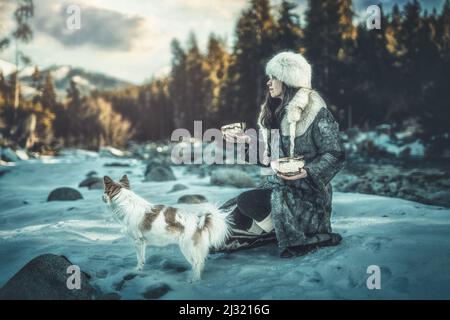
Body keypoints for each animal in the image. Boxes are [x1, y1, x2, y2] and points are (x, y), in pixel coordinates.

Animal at [102, 175, 232, 282]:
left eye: (104, 191)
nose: (101, 196)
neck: (126, 201)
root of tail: (199, 221)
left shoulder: (137, 241)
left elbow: (139, 258)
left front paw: (137, 269)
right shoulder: (142, 242)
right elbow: (142, 257)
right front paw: (141, 268)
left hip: (187, 248)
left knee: (197, 263)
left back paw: (193, 280)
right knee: (201, 263)